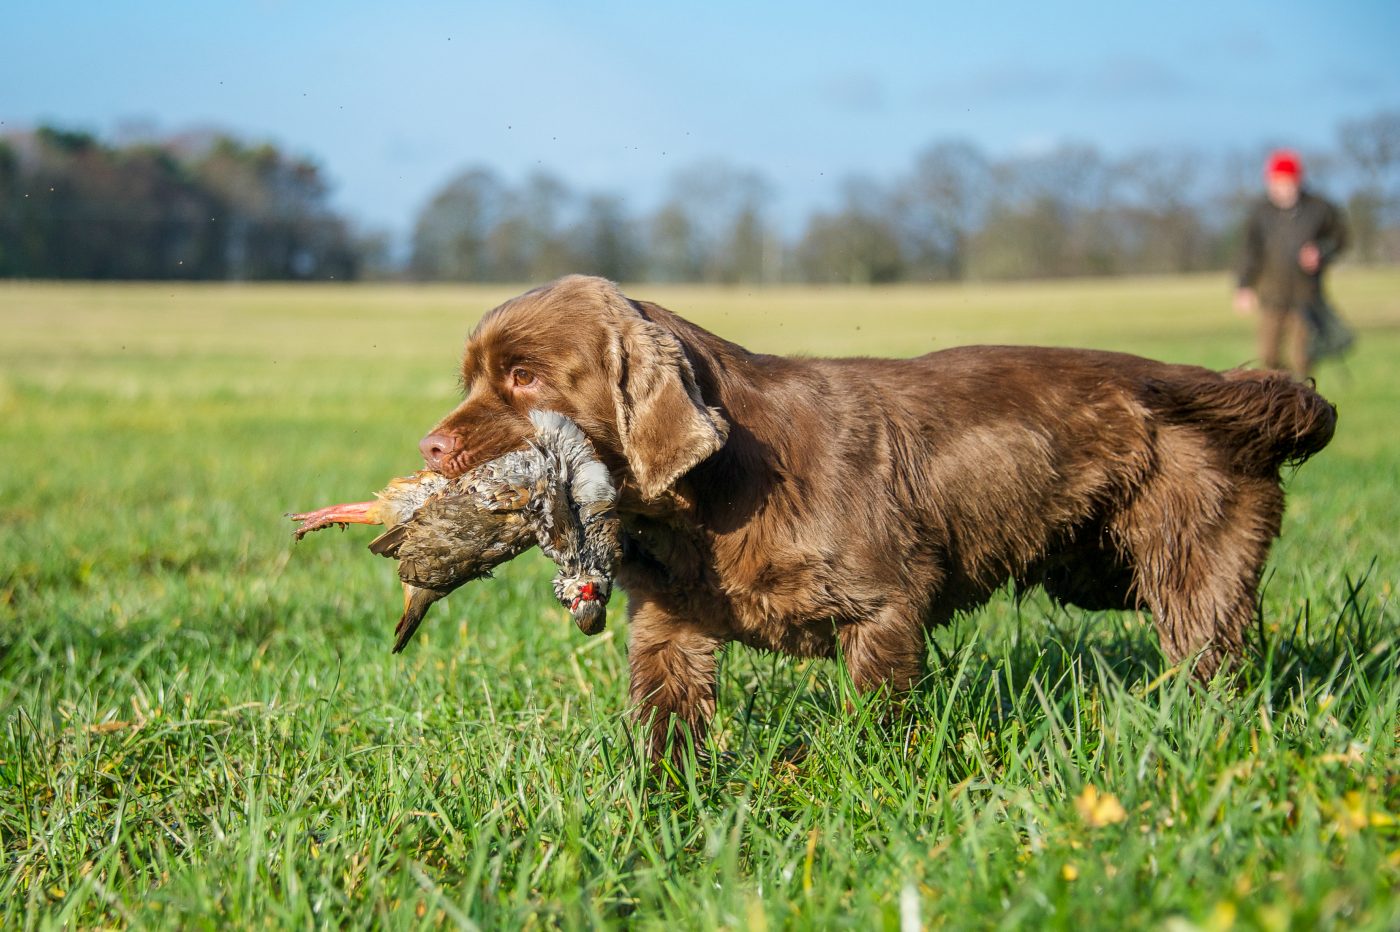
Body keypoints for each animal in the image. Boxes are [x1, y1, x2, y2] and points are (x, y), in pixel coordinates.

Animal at [414, 274, 1332, 755]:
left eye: (525, 376)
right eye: (474, 378)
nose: (429, 445)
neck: (711, 501)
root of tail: (1216, 383)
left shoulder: (883, 610)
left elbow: (879, 719)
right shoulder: (670, 631)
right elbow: (666, 725)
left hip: (1190, 567)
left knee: (1213, 662)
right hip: (1104, 573)